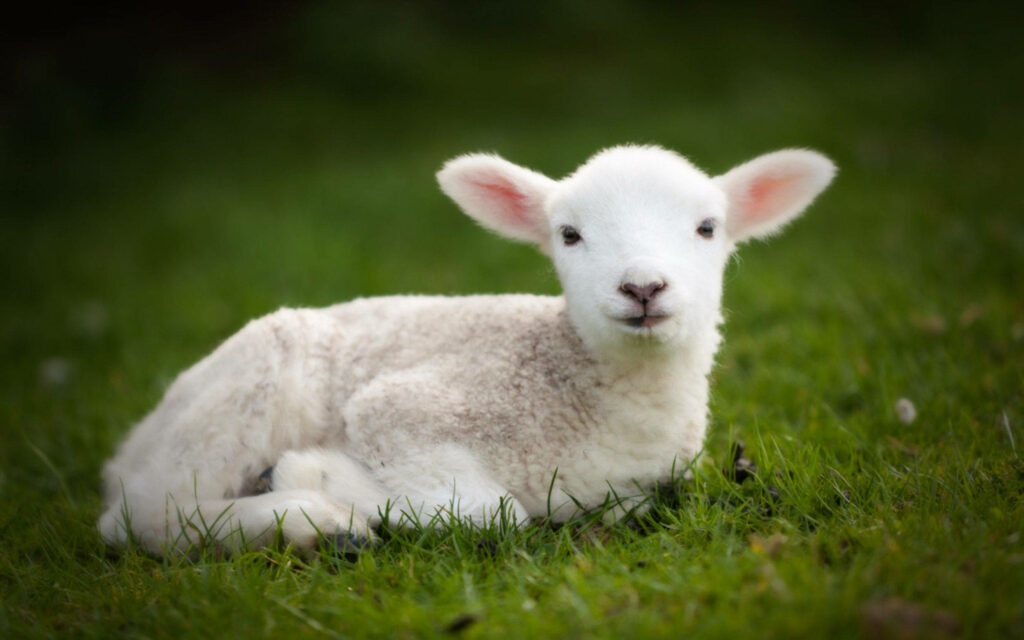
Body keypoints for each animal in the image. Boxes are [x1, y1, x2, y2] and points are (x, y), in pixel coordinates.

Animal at [98, 144, 835, 556]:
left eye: (708, 228)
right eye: (568, 235)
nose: (643, 287)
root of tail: (128, 447)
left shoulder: (639, 489)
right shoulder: (402, 406)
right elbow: (491, 512)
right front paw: (319, 478)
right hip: (242, 392)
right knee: (142, 517)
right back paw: (311, 522)